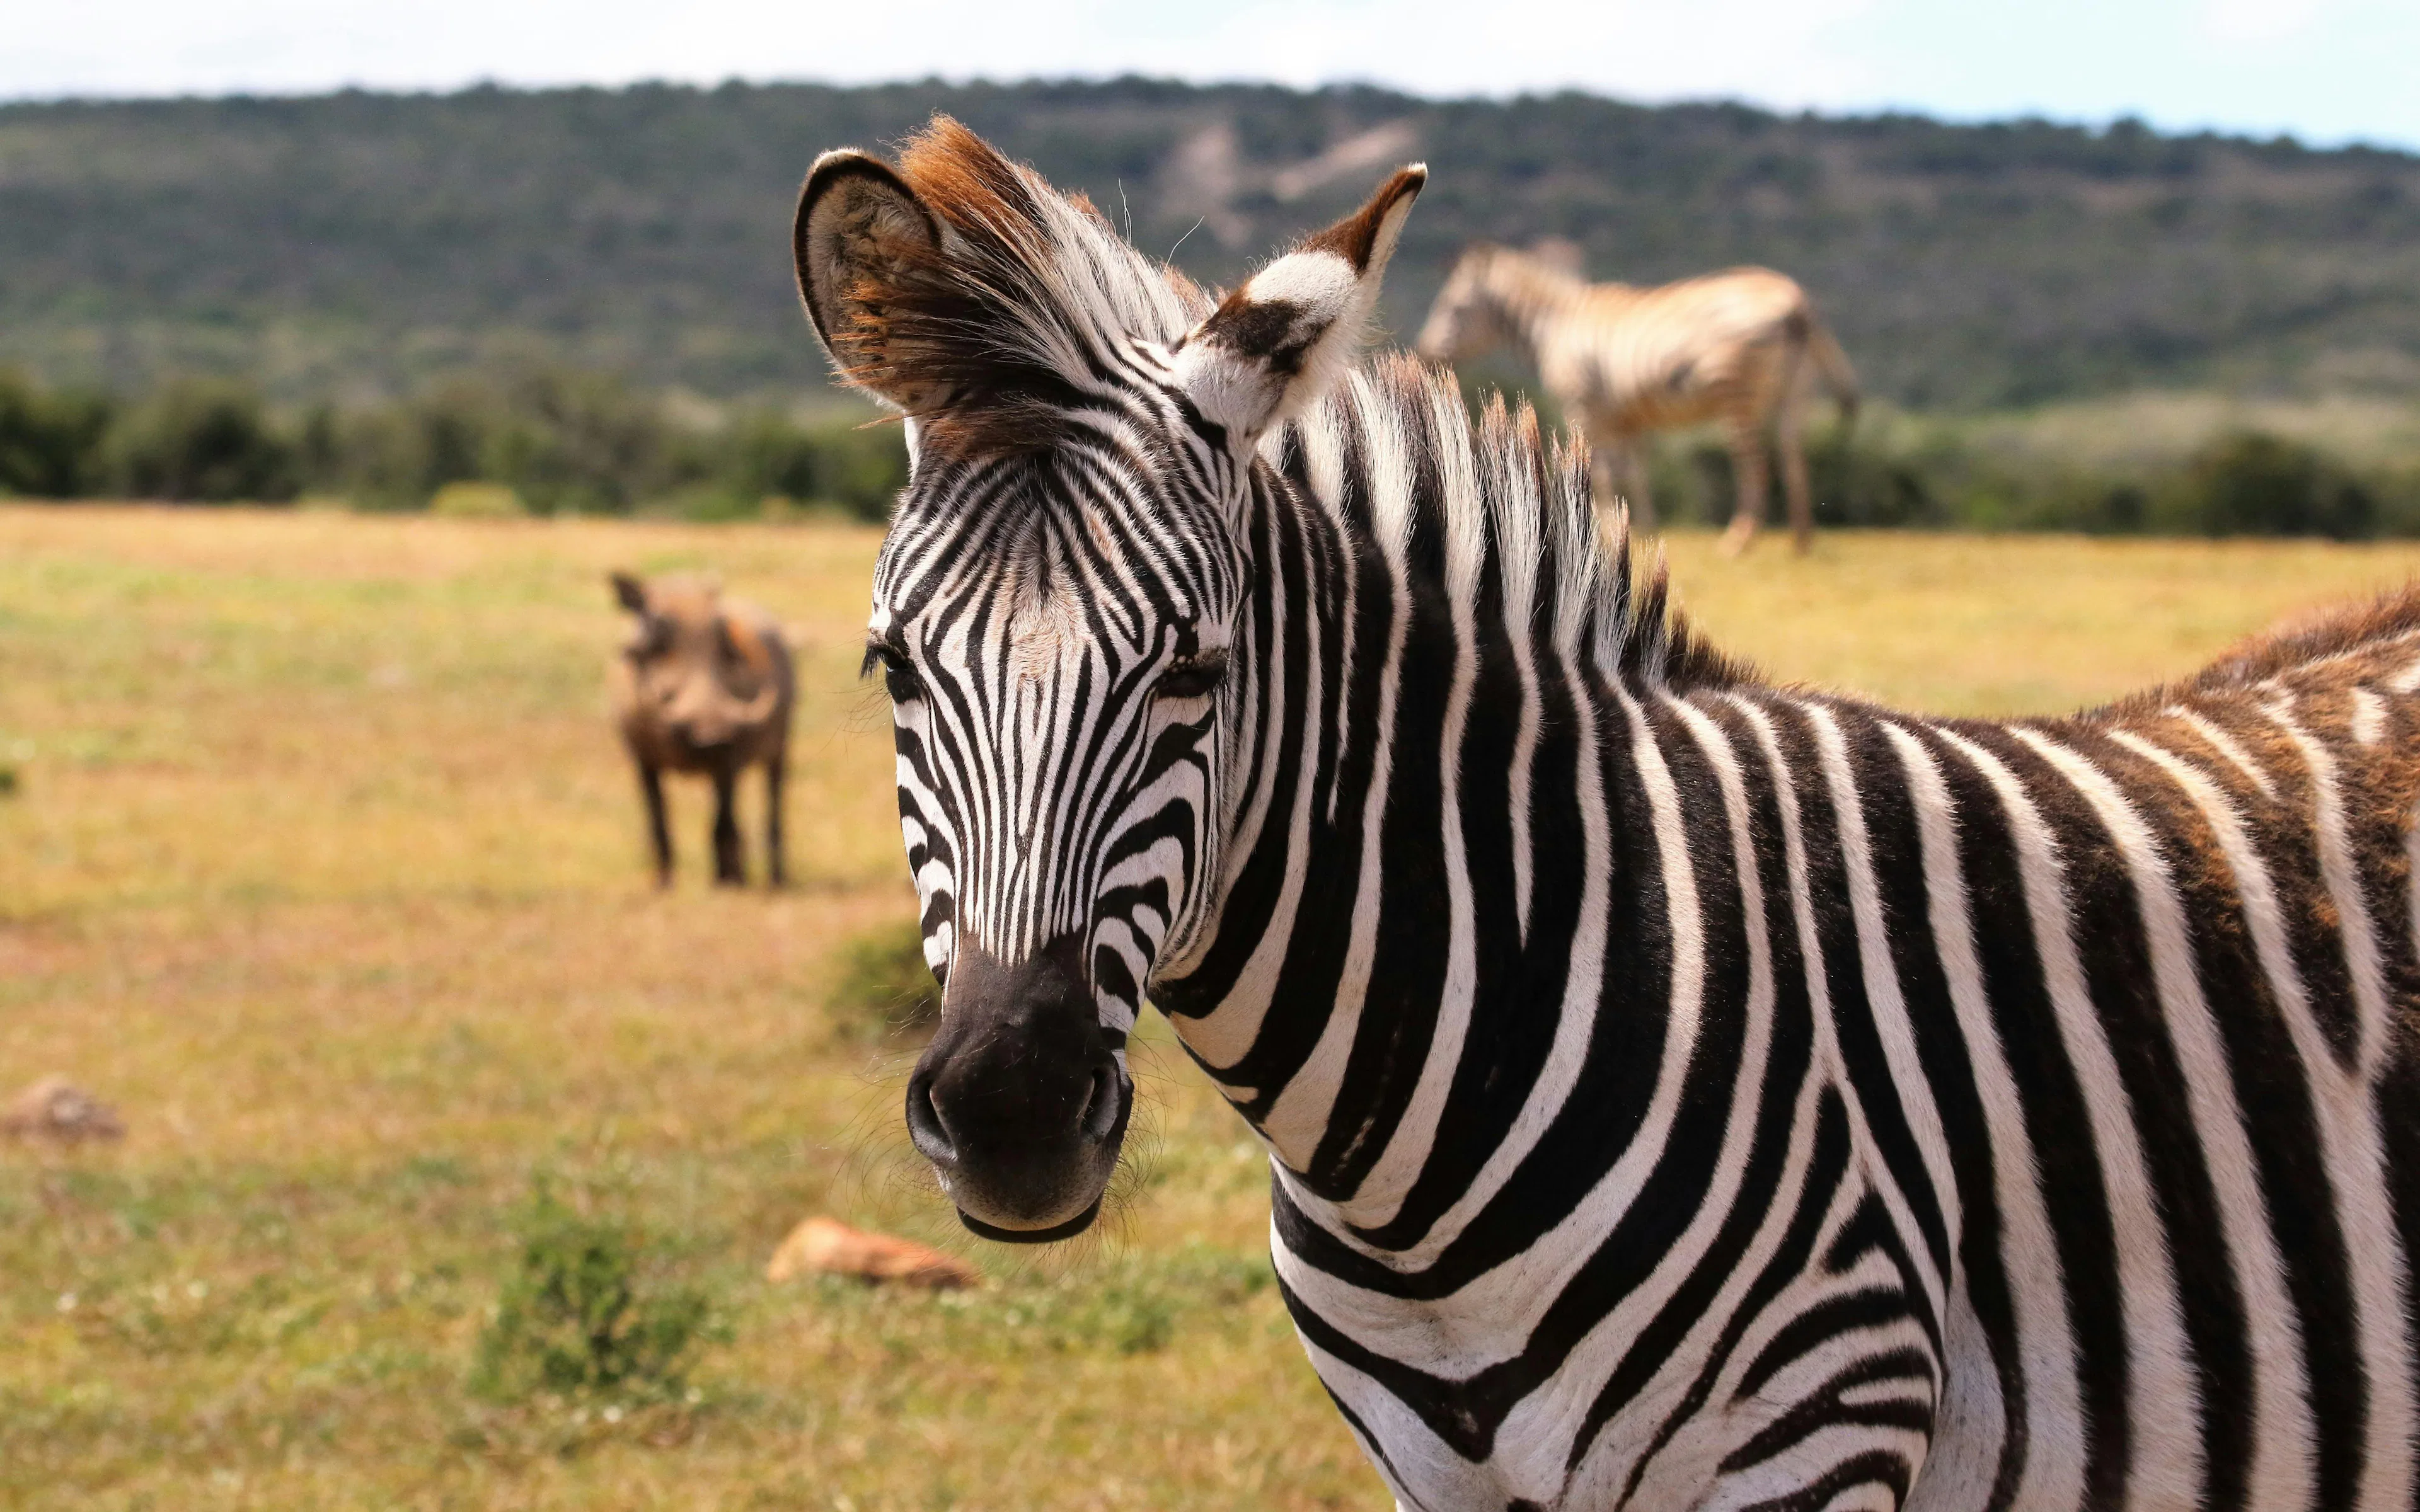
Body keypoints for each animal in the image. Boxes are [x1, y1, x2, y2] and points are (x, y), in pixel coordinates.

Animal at [1415, 242, 1859, 557]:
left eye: (1454, 308)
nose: (1424, 354)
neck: (1555, 326)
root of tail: (1796, 302)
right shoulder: (1627, 417)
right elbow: (1636, 474)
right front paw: (1640, 530)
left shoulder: (1586, 409)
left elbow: (1602, 473)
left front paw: (1603, 533)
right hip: (1794, 395)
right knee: (1794, 456)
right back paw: (1801, 541)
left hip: (1735, 393)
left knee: (1755, 464)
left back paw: (1739, 540)